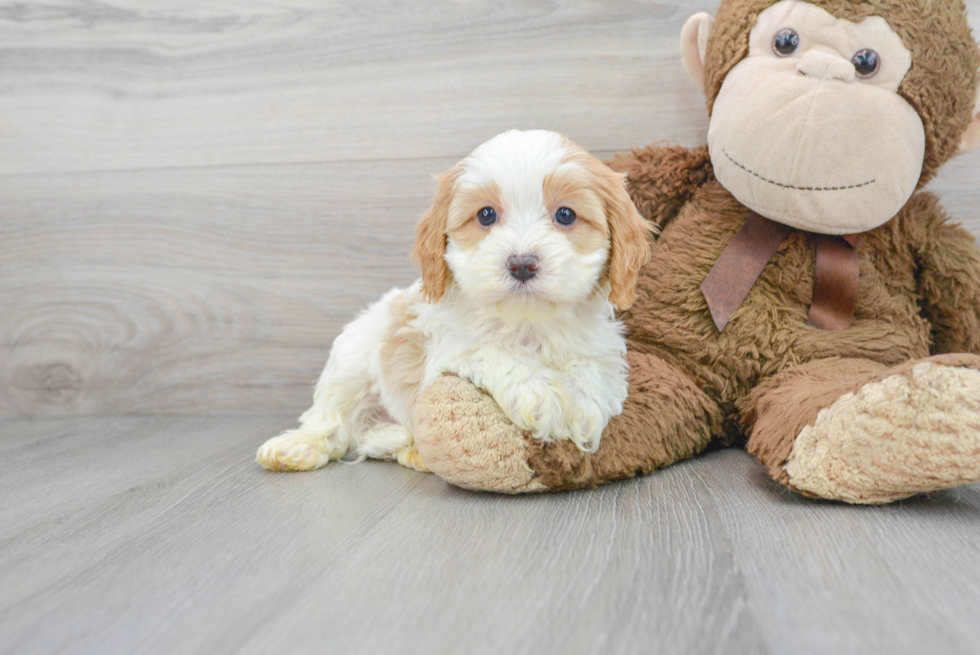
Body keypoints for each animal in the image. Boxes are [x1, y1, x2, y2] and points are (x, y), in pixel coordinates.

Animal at [255, 131, 652, 474]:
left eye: (566, 215)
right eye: (486, 215)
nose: (522, 264)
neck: (527, 322)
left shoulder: (600, 347)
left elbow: (594, 371)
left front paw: (582, 406)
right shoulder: (450, 348)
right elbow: (495, 350)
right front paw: (542, 395)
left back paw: (413, 450)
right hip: (350, 363)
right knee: (331, 420)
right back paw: (297, 447)